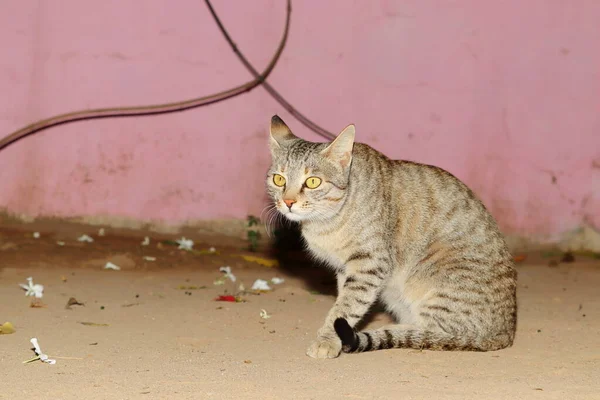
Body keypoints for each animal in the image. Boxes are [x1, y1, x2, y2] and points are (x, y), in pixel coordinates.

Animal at [264, 114, 516, 358]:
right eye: (279, 179)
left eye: (313, 182)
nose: (288, 202)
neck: (326, 220)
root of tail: (507, 332)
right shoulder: (346, 269)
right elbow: (345, 302)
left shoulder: (369, 263)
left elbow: (346, 306)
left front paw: (327, 339)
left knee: (431, 334)